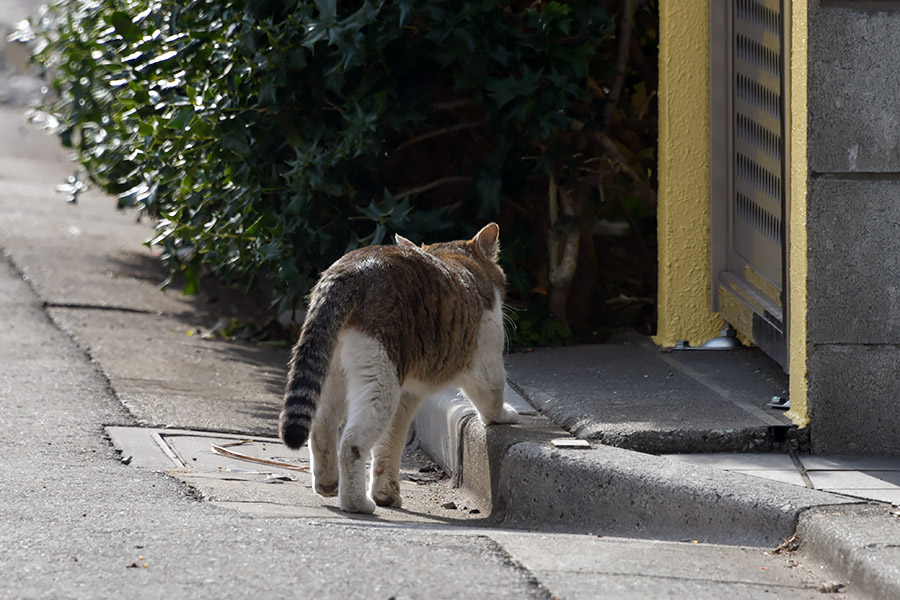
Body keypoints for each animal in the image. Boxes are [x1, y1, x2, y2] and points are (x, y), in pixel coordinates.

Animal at [280, 223, 520, 512]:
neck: (456, 259)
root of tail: (351, 268)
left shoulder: (407, 395)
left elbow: (390, 444)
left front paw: (385, 493)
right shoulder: (486, 360)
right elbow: (492, 398)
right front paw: (505, 415)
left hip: (332, 370)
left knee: (321, 426)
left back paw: (327, 484)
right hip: (381, 377)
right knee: (351, 443)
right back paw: (357, 503)